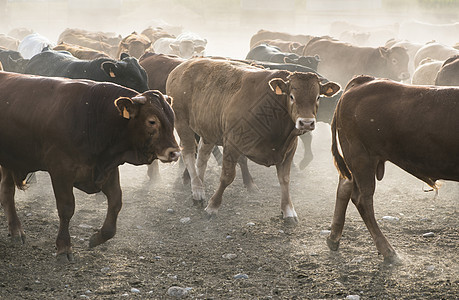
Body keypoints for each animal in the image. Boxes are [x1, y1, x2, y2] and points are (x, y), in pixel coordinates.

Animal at [0, 71, 180, 262]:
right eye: (152, 121)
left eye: (172, 118)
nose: (174, 153)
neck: (92, 116)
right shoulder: (60, 171)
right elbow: (66, 208)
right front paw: (64, 248)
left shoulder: (107, 169)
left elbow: (116, 202)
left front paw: (98, 237)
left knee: (6, 192)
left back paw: (16, 231)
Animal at [167, 57, 340, 221]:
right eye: (291, 96)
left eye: (317, 97)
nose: (306, 123)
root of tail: (182, 66)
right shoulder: (232, 144)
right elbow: (227, 177)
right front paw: (213, 207)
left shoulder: (289, 150)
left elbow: (284, 179)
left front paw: (288, 211)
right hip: (182, 122)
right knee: (189, 152)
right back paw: (197, 190)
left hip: (208, 129)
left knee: (202, 156)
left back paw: (199, 184)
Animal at [328, 75, 459, 264]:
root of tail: (363, 81)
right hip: (361, 157)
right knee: (362, 199)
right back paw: (388, 251)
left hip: (354, 161)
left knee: (345, 185)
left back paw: (333, 238)